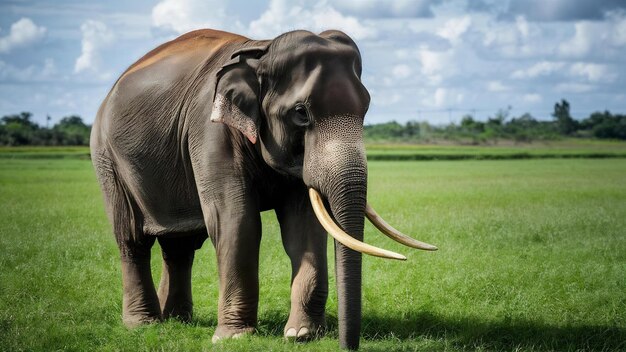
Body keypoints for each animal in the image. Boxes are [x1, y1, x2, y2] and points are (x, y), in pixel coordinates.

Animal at [90, 28, 434, 350]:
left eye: (366, 108)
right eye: (301, 113)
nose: (347, 345)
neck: (262, 50)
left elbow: (304, 225)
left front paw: (301, 335)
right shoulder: (210, 130)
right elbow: (237, 221)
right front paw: (233, 338)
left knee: (180, 245)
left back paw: (177, 319)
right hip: (107, 160)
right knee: (132, 238)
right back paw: (143, 325)